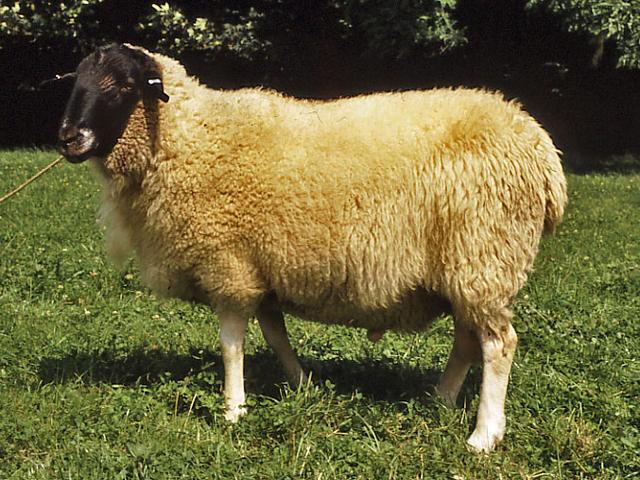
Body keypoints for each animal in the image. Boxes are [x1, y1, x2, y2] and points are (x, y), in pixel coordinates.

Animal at [56, 43, 567, 453]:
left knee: (499, 344)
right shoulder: (260, 267)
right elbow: (275, 333)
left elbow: (231, 344)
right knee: (466, 340)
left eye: (124, 85)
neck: (187, 137)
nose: (68, 139)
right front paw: (301, 384)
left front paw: (233, 408)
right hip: (467, 268)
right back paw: (439, 400)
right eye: (76, 80)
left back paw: (484, 435)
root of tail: (541, 148)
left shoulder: (229, 263)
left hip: (485, 254)